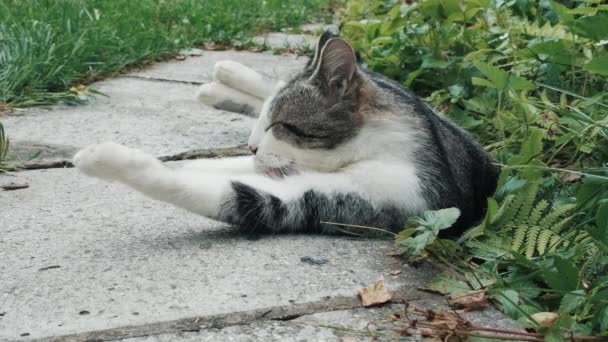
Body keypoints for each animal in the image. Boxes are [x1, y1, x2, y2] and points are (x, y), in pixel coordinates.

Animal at [73, 32, 498, 236]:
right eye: (266, 123)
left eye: (279, 125)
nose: (251, 144)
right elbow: (209, 165)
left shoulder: (354, 200)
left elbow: (216, 187)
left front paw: (101, 157)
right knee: (272, 82)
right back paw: (223, 78)